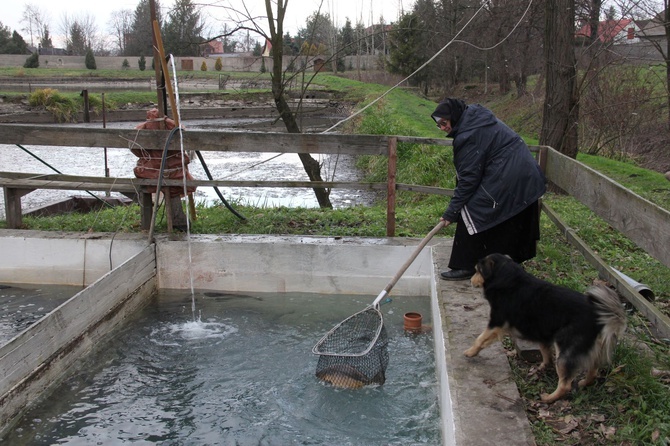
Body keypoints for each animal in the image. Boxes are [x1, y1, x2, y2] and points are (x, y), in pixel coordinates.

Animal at [464, 253, 628, 402]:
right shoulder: (543, 332)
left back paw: (548, 398)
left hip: (564, 350)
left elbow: (480, 339)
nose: (470, 281)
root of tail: (599, 315)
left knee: (565, 385)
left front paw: (470, 352)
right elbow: (545, 351)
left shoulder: (496, 323)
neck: (507, 277)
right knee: (593, 371)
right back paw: (583, 383)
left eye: (477, 270)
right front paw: (543, 366)